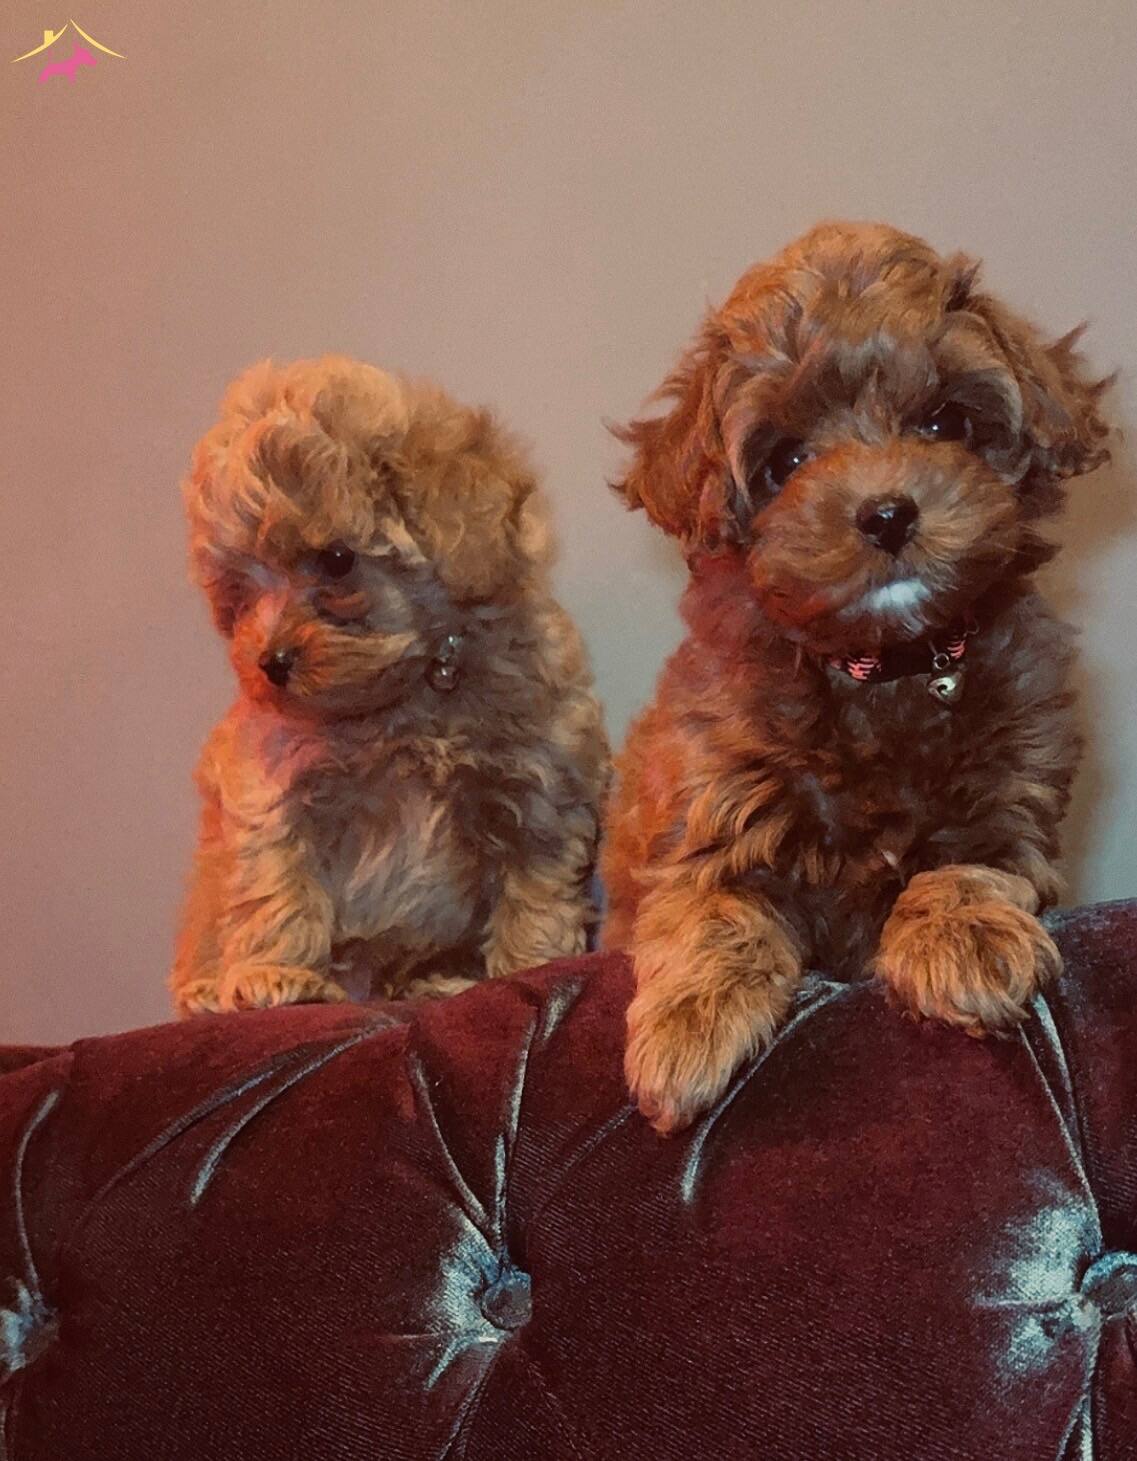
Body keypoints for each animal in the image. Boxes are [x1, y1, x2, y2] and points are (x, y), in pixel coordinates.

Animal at [173, 356, 609, 1016]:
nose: (270, 663)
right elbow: (277, 877)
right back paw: (205, 991)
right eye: (239, 590)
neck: (409, 694)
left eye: (337, 559)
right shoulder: (272, 780)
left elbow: (536, 888)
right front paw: (275, 972)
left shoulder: (544, 781)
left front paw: (533, 966)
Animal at [601, 222, 1110, 1133]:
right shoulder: (709, 804)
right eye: (785, 460)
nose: (886, 514)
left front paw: (965, 937)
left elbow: (969, 863)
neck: (883, 667)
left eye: (944, 420)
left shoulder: (1013, 795)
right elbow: (710, 909)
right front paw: (685, 1031)